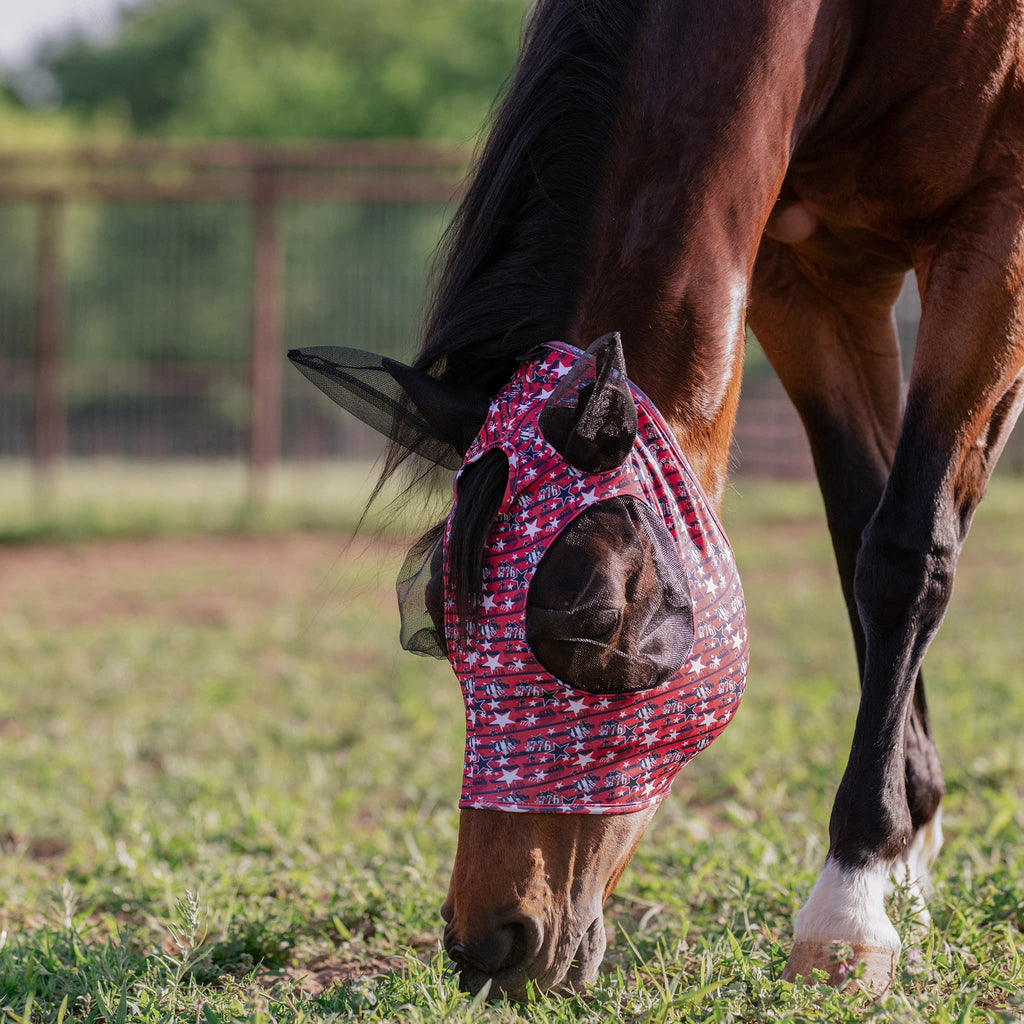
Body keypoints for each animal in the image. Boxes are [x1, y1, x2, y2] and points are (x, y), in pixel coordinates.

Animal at [293, 0, 1024, 1000]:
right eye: (439, 623)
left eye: (596, 617)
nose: (488, 945)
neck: (849, 26)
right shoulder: (806, 273)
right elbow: (858, 537)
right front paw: (907, 850)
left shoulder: (996, 230)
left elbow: (905, 554)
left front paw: (853, 899)